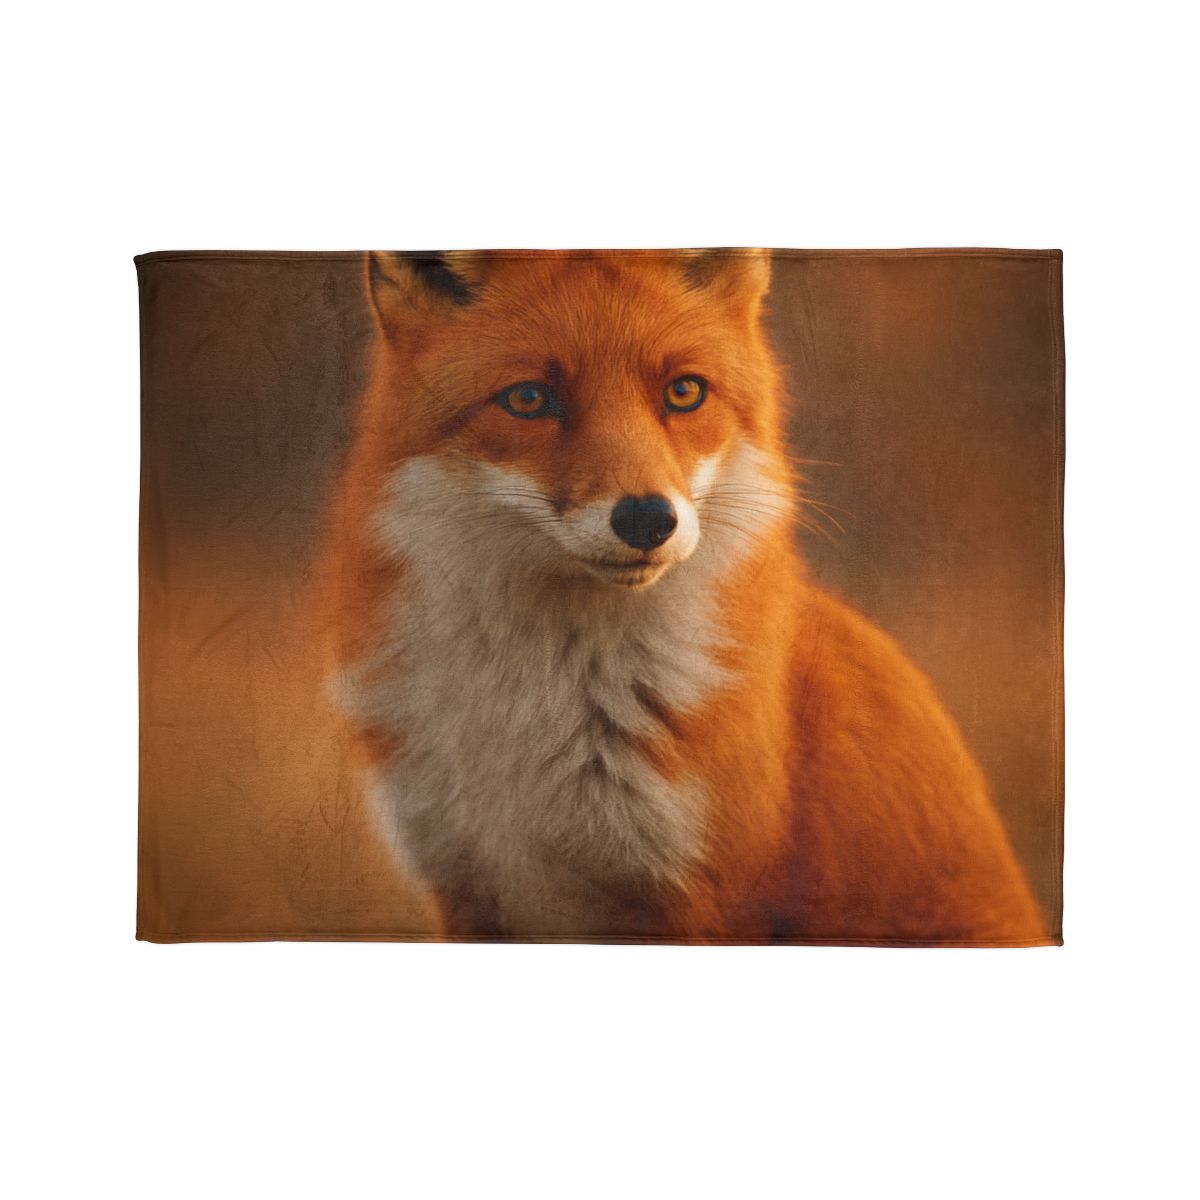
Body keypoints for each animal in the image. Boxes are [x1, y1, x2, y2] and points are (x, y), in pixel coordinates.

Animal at [320, 248, 1048, 944]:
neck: (543, 708)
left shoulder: (707, 901)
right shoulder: (467, 886)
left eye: (684, 392)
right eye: (529, 399)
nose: (648, 519)